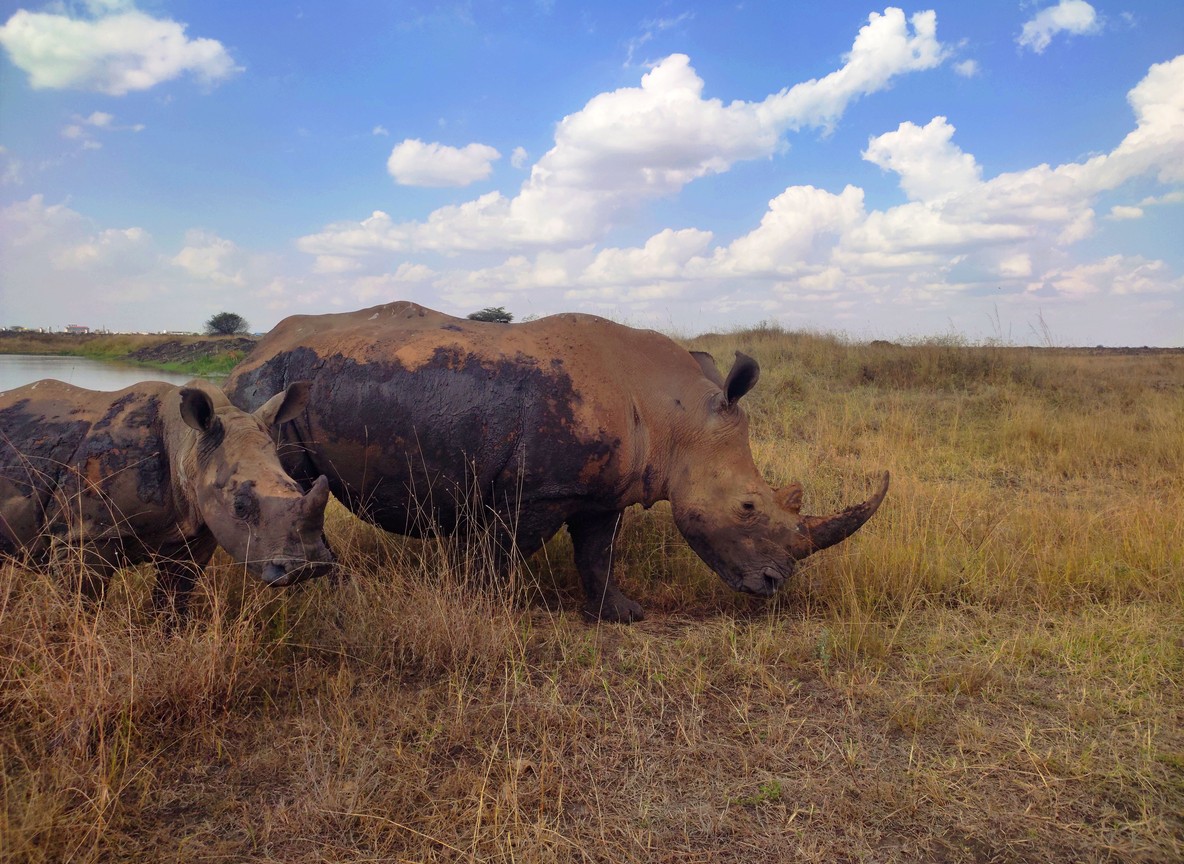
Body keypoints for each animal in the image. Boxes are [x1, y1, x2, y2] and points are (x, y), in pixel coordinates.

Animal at [0, 378, 336, 615]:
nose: (310, 566)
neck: (188, 447)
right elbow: (82, 605)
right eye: (240, 506)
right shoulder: (84, 533)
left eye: (297, 488)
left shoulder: (194, 532)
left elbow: (174, 600)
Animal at [225, 301, 888, 622]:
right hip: (268, 395)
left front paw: (622, 617)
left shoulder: (606, 491)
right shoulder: (538, 491)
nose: (774, 586)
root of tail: (249, 353)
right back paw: (330, 587)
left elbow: (598, 553)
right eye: (748, 506)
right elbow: (502, 555)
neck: (676, 417)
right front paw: (483, 607)